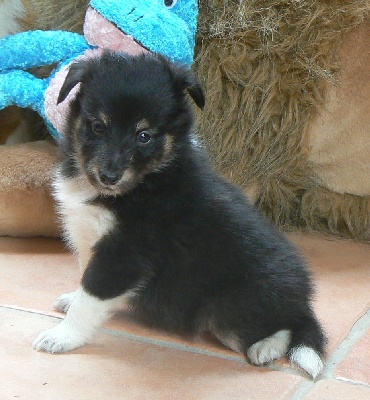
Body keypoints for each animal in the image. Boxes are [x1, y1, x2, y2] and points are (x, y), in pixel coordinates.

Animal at [33, 52, 326, 378]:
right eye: (97, 126)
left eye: (144, 136)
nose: (108, 177)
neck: (146, 181)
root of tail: (304, 299)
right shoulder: (90, 238)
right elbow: (86, 279)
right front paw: (71, 299)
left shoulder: (124, 254)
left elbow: (92, 294)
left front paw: (62, 336)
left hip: (230, 309)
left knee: (290, 326)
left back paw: (266, 348)